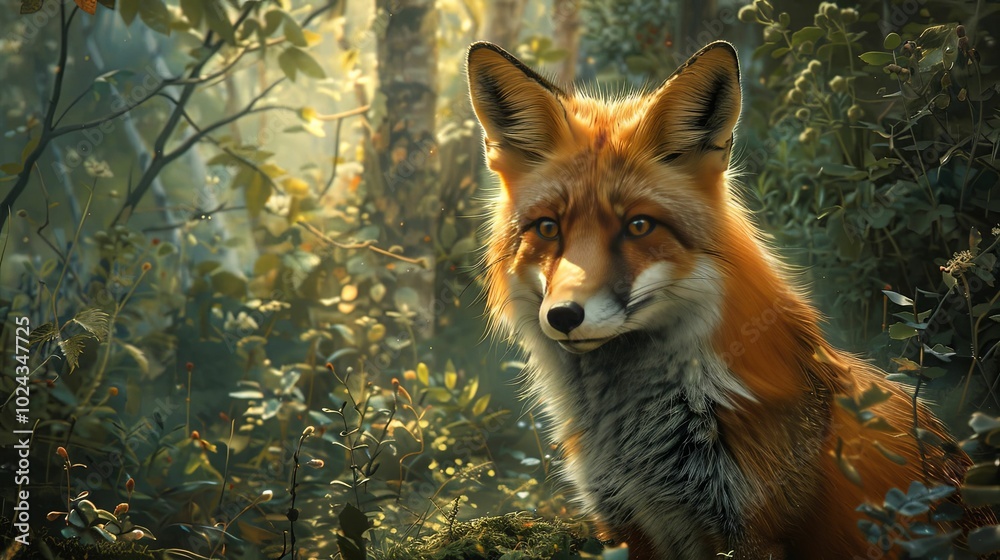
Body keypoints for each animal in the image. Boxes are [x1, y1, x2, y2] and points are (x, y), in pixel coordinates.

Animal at [466, 40, 994, 559]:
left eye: (639, 225)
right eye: (548, 228)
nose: (563, 315)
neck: (636, 442)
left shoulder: (753, 529)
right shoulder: (621, 524)